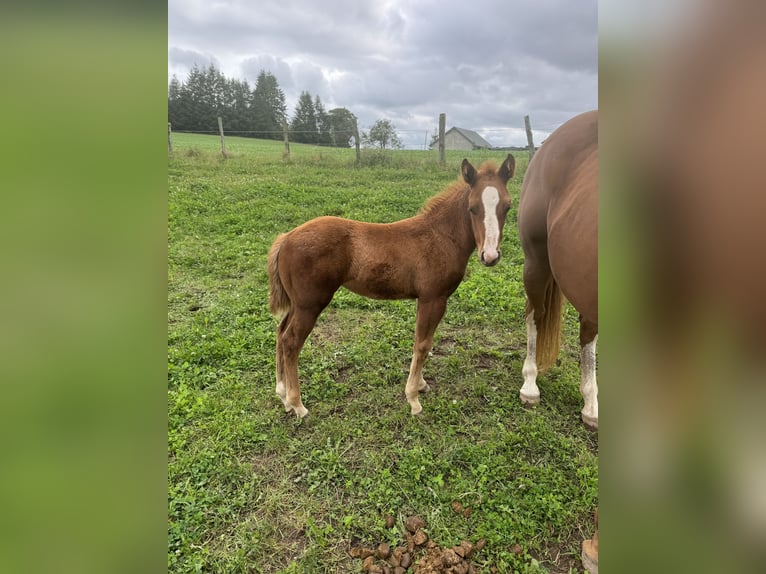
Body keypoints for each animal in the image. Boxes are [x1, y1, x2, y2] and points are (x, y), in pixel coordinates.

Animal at [270, 155, 516, 420]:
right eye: (472, 207)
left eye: (507, 206)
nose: (490, 256)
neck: (441, 238)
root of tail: (286, 237)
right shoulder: (434, 298)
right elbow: (423, 344)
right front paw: (413, 399)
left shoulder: (423, 299)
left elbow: (422, 340)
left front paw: (420, 385)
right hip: (310, 305)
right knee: (291, 341)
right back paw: (297, 404)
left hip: (297, 304)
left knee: (281, 333)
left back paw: (282, 394)